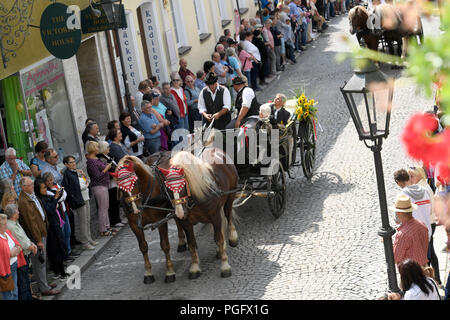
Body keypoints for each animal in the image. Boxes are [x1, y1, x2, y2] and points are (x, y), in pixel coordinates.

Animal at [114, 148, 239, 282]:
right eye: (120, 187)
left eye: (134, 182)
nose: (135, 209)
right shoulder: (135, 225)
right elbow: (144, 247)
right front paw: (148, 273)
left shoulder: (213, 217)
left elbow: (165, 245)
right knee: (179, 223)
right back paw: (182, 242)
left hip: (230, 197)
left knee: (228, 215)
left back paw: (232, 237)